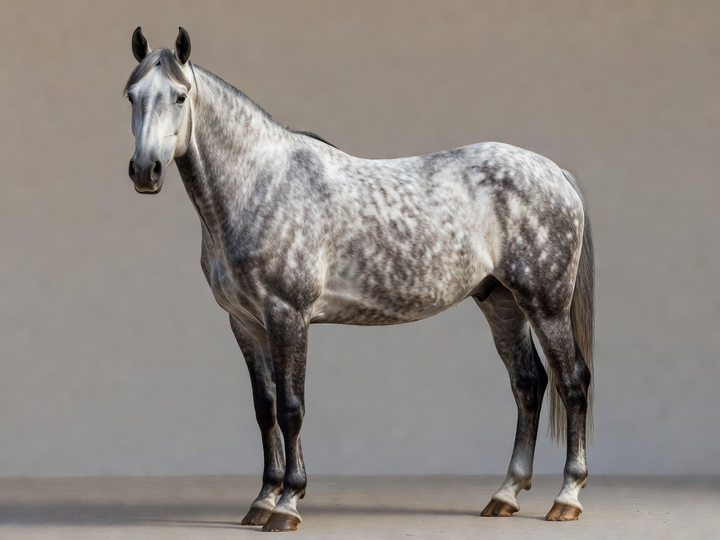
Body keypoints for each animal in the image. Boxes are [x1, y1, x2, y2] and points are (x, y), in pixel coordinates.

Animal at [124, 27, 594, 532]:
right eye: (132, 95)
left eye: (179, 96)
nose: (145, 170)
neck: (261, 184)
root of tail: (555, 172)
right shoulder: (246, 324)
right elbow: (264, 409)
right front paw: (263, 500)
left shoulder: (288, 315)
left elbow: (291, 409)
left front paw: (288, 503)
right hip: (501, 301)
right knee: (528, 384)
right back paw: (505, 494)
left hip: (546, 304)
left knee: (572, 382)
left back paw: (567, 497)